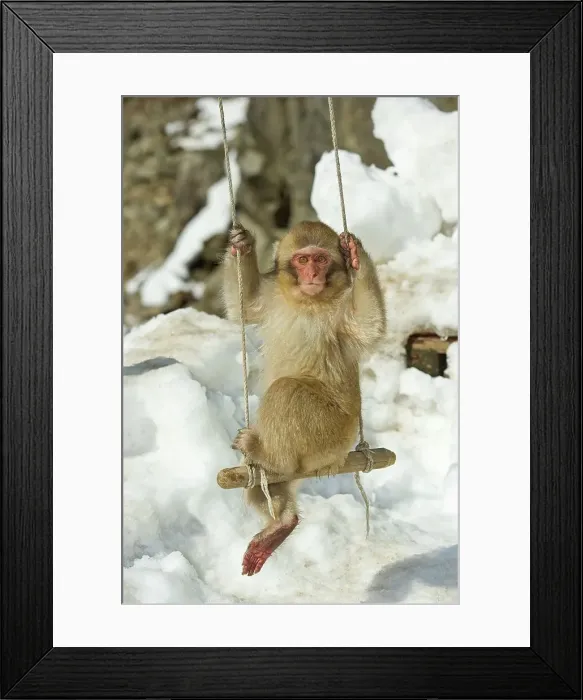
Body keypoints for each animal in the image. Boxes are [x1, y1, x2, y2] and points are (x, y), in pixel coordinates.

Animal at [222, 221, 386, 576]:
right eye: (302, 259)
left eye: (321, 259)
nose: (312, 274)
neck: (308, 301)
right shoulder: (273, 295)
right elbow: (244, 309)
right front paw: (242, 244)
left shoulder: (342, 310)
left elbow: (369, 327)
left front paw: (357, 256)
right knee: (262, 483)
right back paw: (280, 522)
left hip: (332, 431)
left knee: (288, 391)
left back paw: (268, 456)